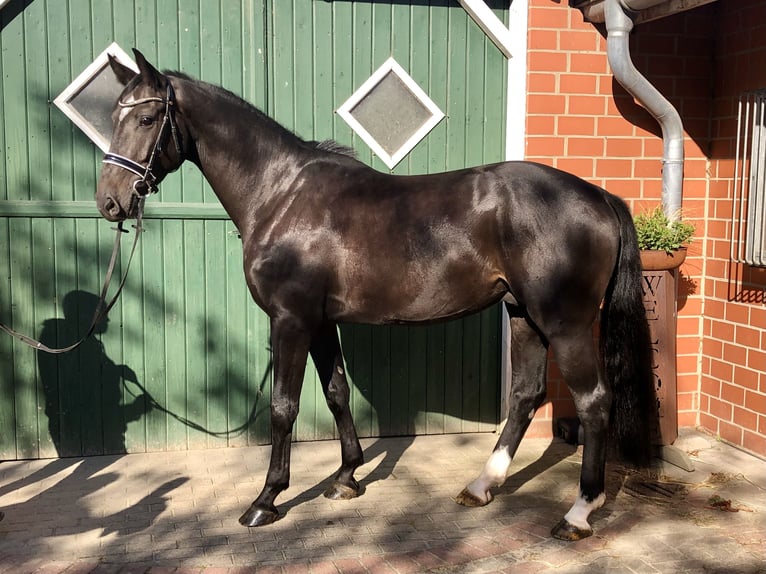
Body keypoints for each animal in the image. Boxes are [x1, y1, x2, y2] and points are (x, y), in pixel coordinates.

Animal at [93, 51, 652, 544]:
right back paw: (481, 487)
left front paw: (266, 500)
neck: (281, 194)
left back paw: (578, 513)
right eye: (113, 116)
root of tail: (601, 196)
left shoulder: (291, 319)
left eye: (146, 117)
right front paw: (346, 479)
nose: (110, 202)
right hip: (522, 314)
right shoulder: (320, 322)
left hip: (565, 323)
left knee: (594, 401)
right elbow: (336, 393)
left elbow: (283, 407)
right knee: (525, 395)